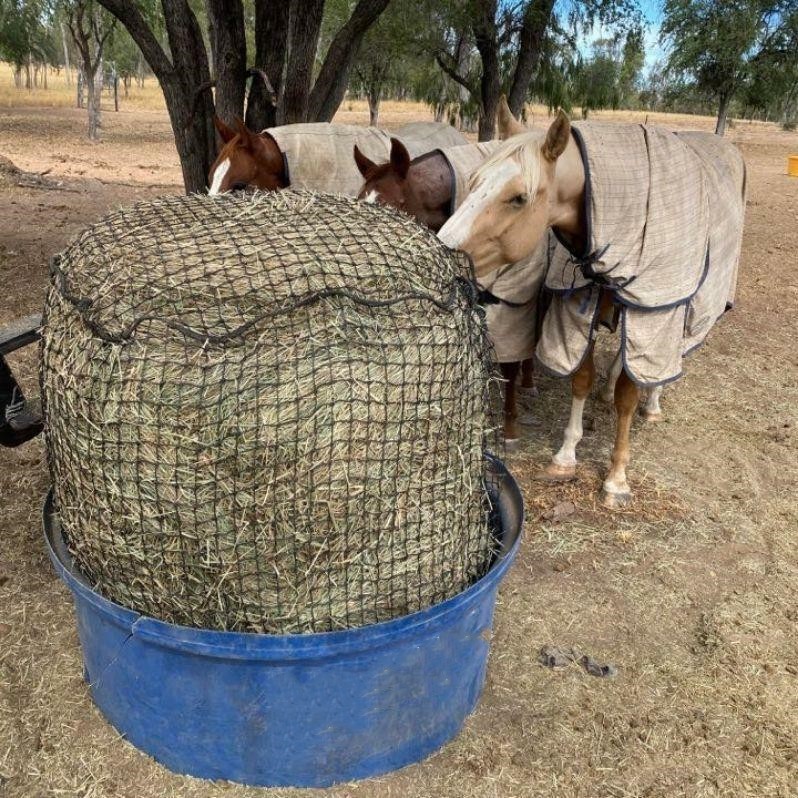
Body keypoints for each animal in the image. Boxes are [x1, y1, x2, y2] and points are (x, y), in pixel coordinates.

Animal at [438, 101, 746, 507]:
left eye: (518, 197)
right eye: (472, 181)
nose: (440, 249)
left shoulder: (648, 312)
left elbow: (628, 397)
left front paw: (616, 478)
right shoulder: (577, 308)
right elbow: (582, 379)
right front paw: (566, 456)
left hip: (672, 310)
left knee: (667, 359)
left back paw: (653, 404)